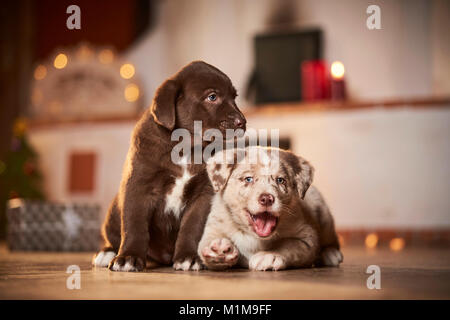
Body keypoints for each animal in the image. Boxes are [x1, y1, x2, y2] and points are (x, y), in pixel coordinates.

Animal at [92, 61, 246, 272]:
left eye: (234, 97)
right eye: (212, 97)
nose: (242, 121)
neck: (186, 147)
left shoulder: (203, 195)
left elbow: (192, 227)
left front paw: (188, 257)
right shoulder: (138, 187)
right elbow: (134, 225)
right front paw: (129, 257)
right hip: (114, 212)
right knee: (114, 235)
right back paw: (107, 253)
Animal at [199, 147, 342, 270]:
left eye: (280, 180)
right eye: (248, 179)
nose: (267, 199)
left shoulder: (307, 237)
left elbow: (289, 244)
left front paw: (269, 255)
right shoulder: (214, 225)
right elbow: (207, 243)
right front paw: (219, 250)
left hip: (324, 216)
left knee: (331, 240)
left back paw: (331, 254)